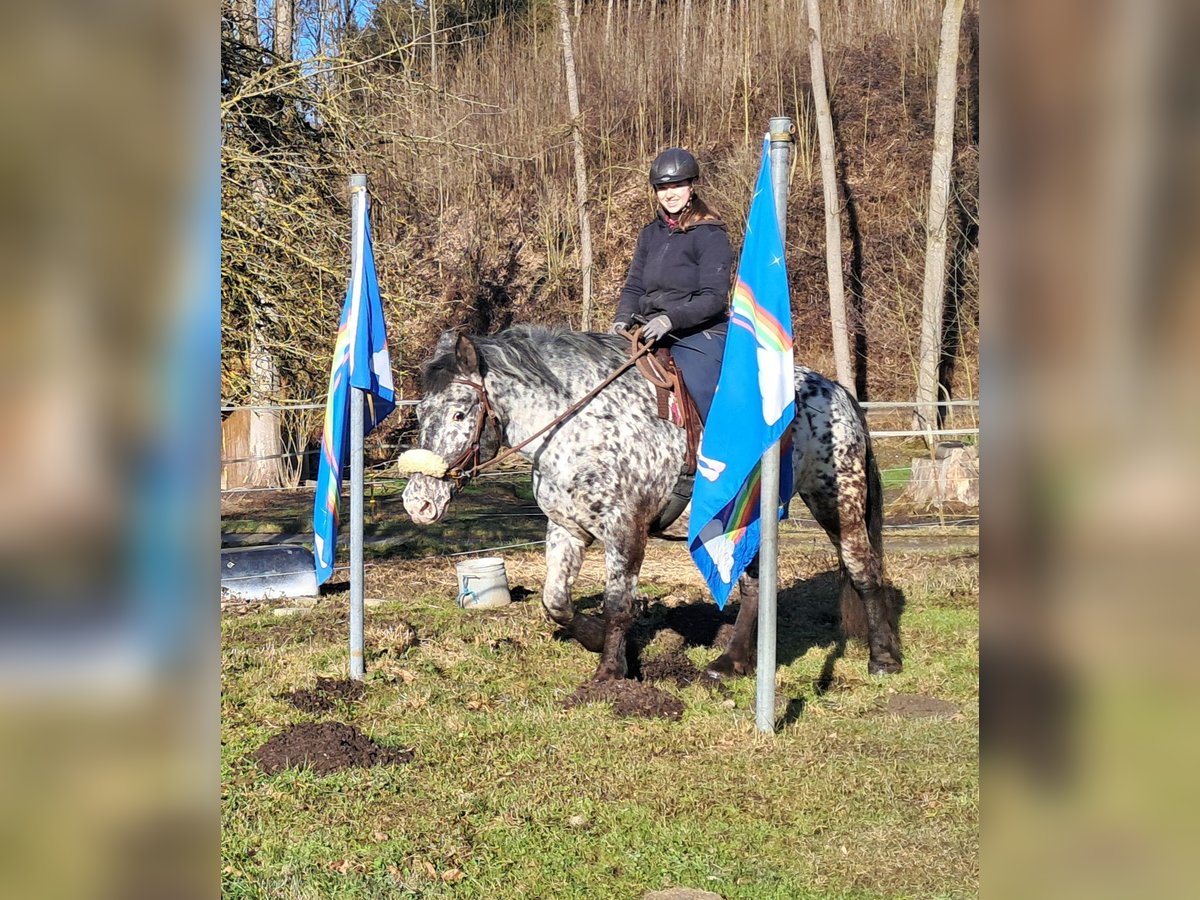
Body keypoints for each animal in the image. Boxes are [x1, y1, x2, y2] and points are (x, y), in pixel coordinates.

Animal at [403, 326, 902, 681]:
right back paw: (731, 663)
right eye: (421, 412)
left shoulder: (627, 531)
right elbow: (556, 601)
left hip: (837, 500)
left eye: (460, 413)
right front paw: (593, 639)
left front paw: (610, 672)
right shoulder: (566, 529)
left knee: (864, 570)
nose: (417, 502)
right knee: (754, 586)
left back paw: (883, 658)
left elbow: (617, 604)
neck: (579, 426)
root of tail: (835, 390)